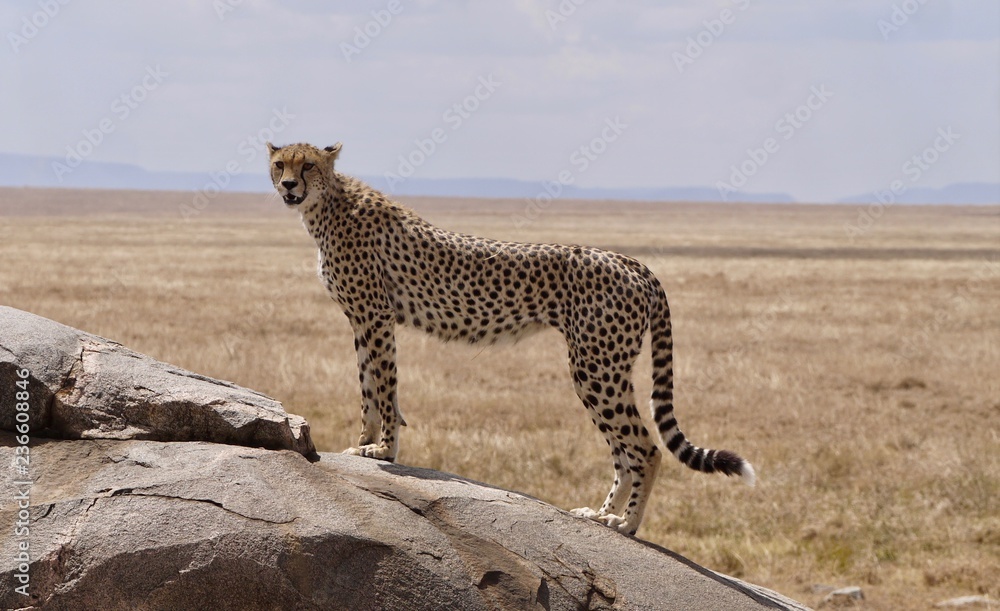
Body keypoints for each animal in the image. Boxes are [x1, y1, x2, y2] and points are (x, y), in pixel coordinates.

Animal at [266, 143, 752, 536]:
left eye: (308, 164)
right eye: (279, 163)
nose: (289, 185)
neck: (327, 205)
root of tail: (629, 260)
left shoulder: (376, 315)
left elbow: (384, 387)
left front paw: (383, 449)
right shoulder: (362, 320)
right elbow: (368, 385)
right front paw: (365, 441)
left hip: (596, 366)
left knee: (645, 448)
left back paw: (626, 523)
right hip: (603, 368)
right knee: (623, 452)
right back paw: (600, 514)